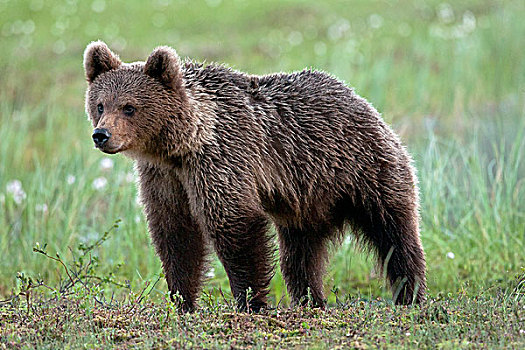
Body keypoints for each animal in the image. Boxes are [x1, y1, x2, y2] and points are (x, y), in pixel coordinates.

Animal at [83, 40, 426, 312]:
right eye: (100, 105)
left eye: (129, 107)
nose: (101, 135)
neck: (183, 143)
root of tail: (362, 101)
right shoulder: (165, 177)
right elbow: (175, 231)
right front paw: (183, 301)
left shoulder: (224, 157)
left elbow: (233, 224)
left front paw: (251, 301)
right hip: (305, 200)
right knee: (301, 254)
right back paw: (310, 299)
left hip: (364, 168)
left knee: (394, 232)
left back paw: (409, 294)